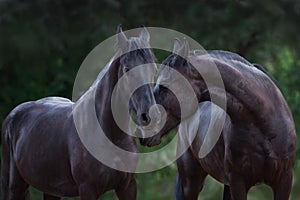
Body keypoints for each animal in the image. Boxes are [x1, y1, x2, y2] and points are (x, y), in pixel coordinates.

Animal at [1, 26, 158, 200]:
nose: (149, 117)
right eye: (127, 69)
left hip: (51, 189)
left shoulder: (128, 186)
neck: (109, 133)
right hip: (15, 186)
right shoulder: (88, 189)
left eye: (154, 68)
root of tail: (14, 114)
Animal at [139, 38, 296, 199]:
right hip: (191, 183)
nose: (143, 127)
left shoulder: (284, 180)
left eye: (164, 87)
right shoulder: (238, 181)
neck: (262, 123)